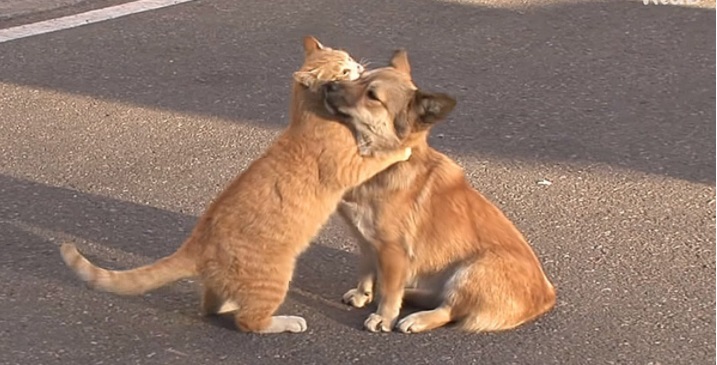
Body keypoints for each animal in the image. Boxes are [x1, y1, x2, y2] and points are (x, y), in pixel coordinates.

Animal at [60, 37, 408, 332]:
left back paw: (226, 305)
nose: (361, 67)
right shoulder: (351, 166)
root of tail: (196, 244)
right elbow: (380, 155)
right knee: (249, 321)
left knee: (210, 307)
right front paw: (400, 148)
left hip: (223, 286)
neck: (308, 115)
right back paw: (285, 322)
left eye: (350, 61)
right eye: (346, 71)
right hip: (275, 278)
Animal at [322, 50, 556, 332]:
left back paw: (416, 318)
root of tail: (547, 296)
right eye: (360, 77)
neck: (386, 164)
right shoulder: (366, 242)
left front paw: (384, 317)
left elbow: (390, 292)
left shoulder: (393, 252)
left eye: (372, 96)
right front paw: (362, 294)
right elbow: (366, 272)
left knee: (449, 309)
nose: (328, 85)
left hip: (471, 270)